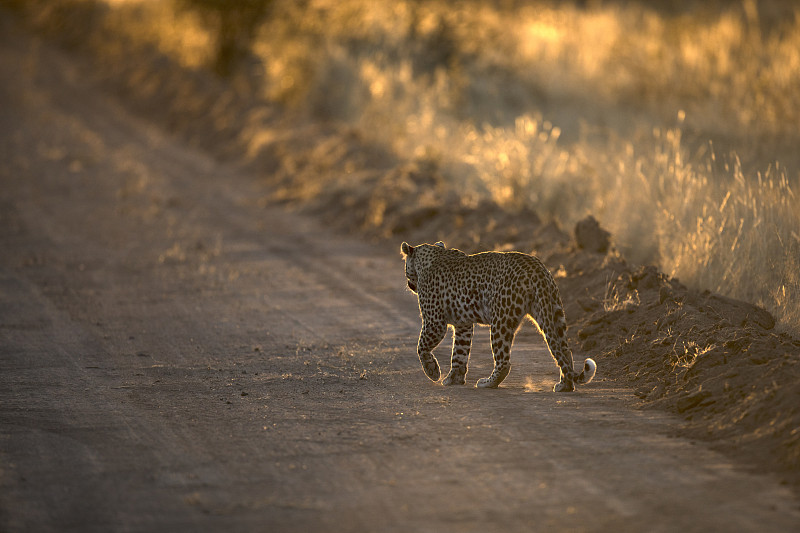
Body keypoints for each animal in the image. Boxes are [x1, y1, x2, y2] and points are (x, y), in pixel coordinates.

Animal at [400, 241, 592, 390]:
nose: (409, 285)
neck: (431, 256)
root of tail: (535, 266)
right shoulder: (463, 324)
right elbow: (459, 353)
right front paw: (454, 379)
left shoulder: (434, 322)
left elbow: (421, 347)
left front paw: (432, 371)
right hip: (553, 312)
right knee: (564, 352)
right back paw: (565, 385)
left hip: (501, 320)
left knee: (504, 361)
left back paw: (488, 383)